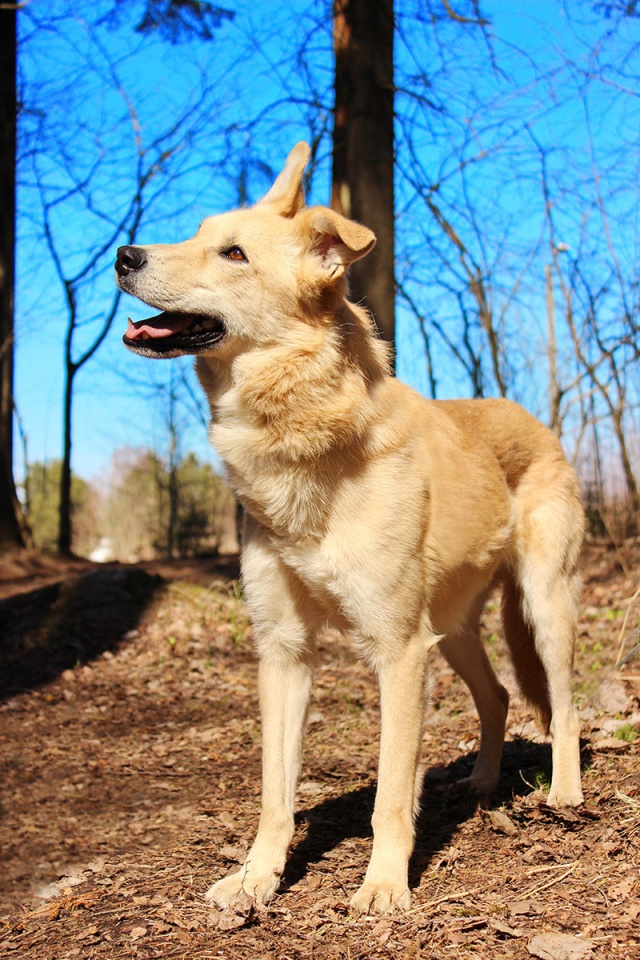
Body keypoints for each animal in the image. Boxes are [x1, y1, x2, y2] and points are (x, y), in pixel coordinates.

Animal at [115, 142, 584, 915]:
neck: (307, 441)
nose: (124, 254)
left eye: (234, 253)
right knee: (497, 698)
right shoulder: (284, 653)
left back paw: (566, 795)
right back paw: (483, 784)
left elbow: (391, 792)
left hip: (543, 609)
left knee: (564, 709)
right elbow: (275, 793)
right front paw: (257, 876)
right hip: (451, 630)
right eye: (195, 231)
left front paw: (385, 885)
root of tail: (528, 416)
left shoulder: (398, 652)